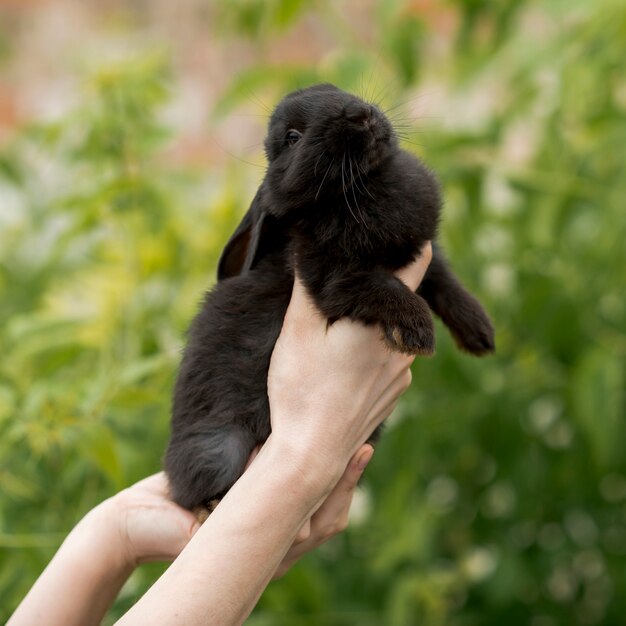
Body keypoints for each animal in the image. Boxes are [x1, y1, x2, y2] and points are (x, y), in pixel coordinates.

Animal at [165, 83, 492, 510]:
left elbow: (445, 282)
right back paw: (211, 505)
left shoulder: (422, 253)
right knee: (188, 491)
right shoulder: (335, 278)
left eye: (337, 90)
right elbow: (388, 290)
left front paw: (479, 333)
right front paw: (419, 333)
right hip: (217, 450)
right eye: (292, 137)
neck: (363, 186)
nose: (359, 113)